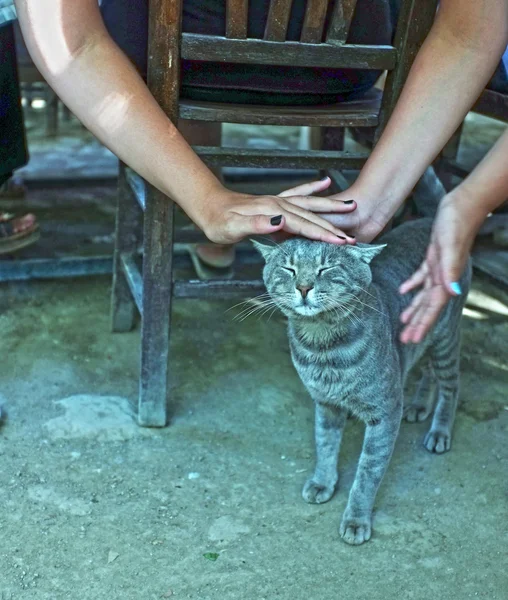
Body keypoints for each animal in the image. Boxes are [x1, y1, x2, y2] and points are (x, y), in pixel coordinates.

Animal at [254, 218, 472, 548]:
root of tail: (430, 220)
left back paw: (440, 430)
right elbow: (325, 444)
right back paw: (419, 404)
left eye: (326, 268)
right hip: (419, 338)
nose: (303, 287)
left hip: (445, 338)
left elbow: (367, 474)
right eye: (289, 268)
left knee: (451, 384)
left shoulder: (385, 413)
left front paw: (356, 519)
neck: (323, 347)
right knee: (428, 372)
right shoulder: (325, 404)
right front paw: (323, 482)